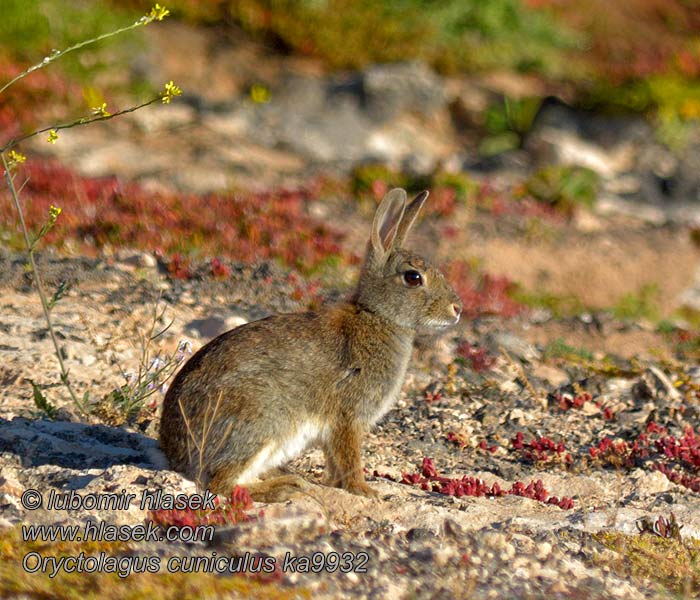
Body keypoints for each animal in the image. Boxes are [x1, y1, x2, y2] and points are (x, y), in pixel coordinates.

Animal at [161, 189, 462, 502]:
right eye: (413, 277)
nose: (457, 309)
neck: (376, 315)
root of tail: (177, 455)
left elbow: (334, 460)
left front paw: (337, 484)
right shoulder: (347, 417)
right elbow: (349, 457)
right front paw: (366, 491)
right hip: (259, 422)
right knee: (221, 483)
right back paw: (287, 486)